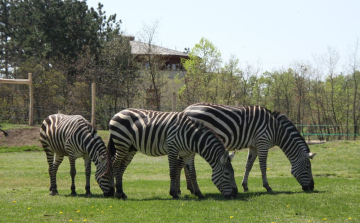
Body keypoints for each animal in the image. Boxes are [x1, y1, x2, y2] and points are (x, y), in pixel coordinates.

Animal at [108, 109, 238, 199]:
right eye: (227, 174)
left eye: (233, 173)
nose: (235, 194)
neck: (191, 137)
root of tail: (118, 112)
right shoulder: (172, 149)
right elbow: (173, 172)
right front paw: (174, 193)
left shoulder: (188, 154)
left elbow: (193, 174)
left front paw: (199, 193)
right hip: (122, 143)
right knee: (115, 163)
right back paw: (117, 192)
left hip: (131, 148)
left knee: (121, 166)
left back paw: (121, 192)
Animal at [183, 103, 316, 192]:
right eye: (308, 167)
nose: (311, 187)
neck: (276, 129)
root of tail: (186, 109)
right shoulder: (263, 142)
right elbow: (263, 166)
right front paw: (267, 186)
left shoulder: (254, 146)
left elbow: (249, 165)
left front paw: (245, 186)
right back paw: (192, 188)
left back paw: (190, 188)